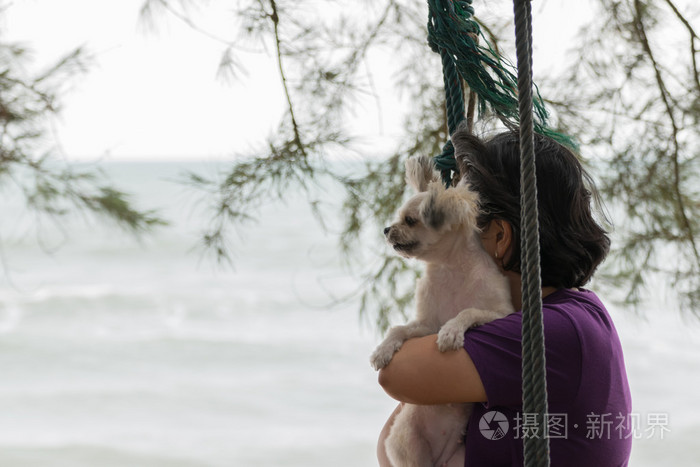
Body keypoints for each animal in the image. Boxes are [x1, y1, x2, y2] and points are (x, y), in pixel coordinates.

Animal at [370, 155, 512, 466]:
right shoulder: (425, 324)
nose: (386, 229)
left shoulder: (501, 314)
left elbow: (467, 312)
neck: (451, 268)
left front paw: (451, 333)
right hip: (412, 447)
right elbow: (400, 328)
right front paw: (383, 350)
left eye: (410, 220)